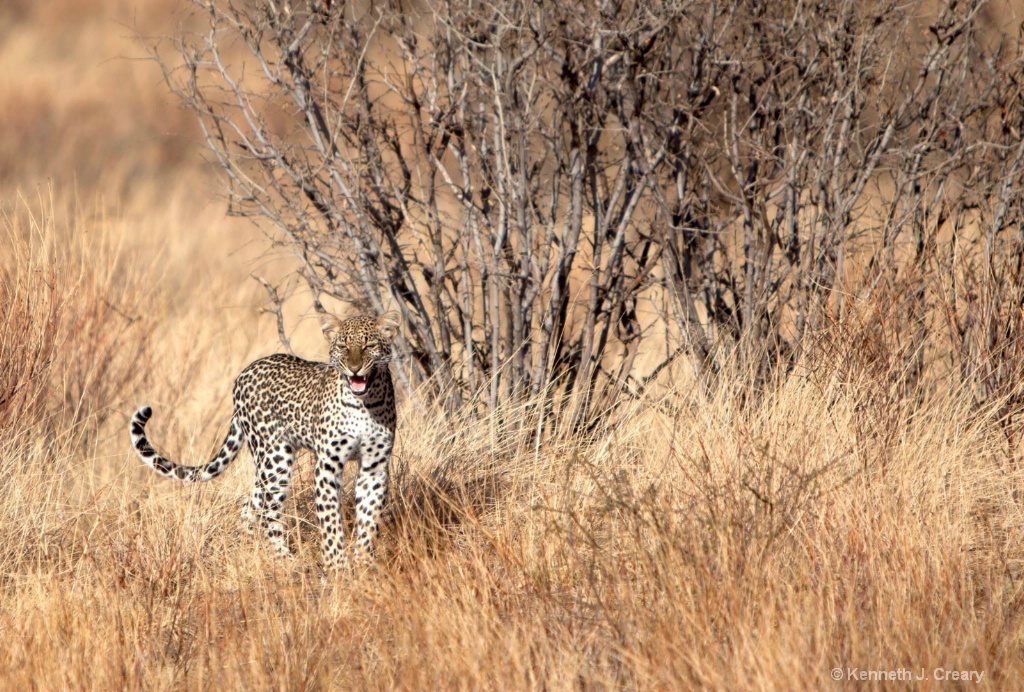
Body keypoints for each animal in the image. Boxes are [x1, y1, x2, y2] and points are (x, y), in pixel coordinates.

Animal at [129, 311, 399, 569]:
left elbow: (369, 518)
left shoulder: (374, 467)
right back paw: (285, 561)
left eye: (369, 345)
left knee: (250, 506)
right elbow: (330, 520)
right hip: (274, 458)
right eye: (343, 345)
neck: (364, 404)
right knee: (269, 511)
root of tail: (244, 373)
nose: (354, 368)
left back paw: (253, 548)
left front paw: (363, 563)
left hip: (268, 465)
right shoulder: (328, 465)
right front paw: (337, 567)